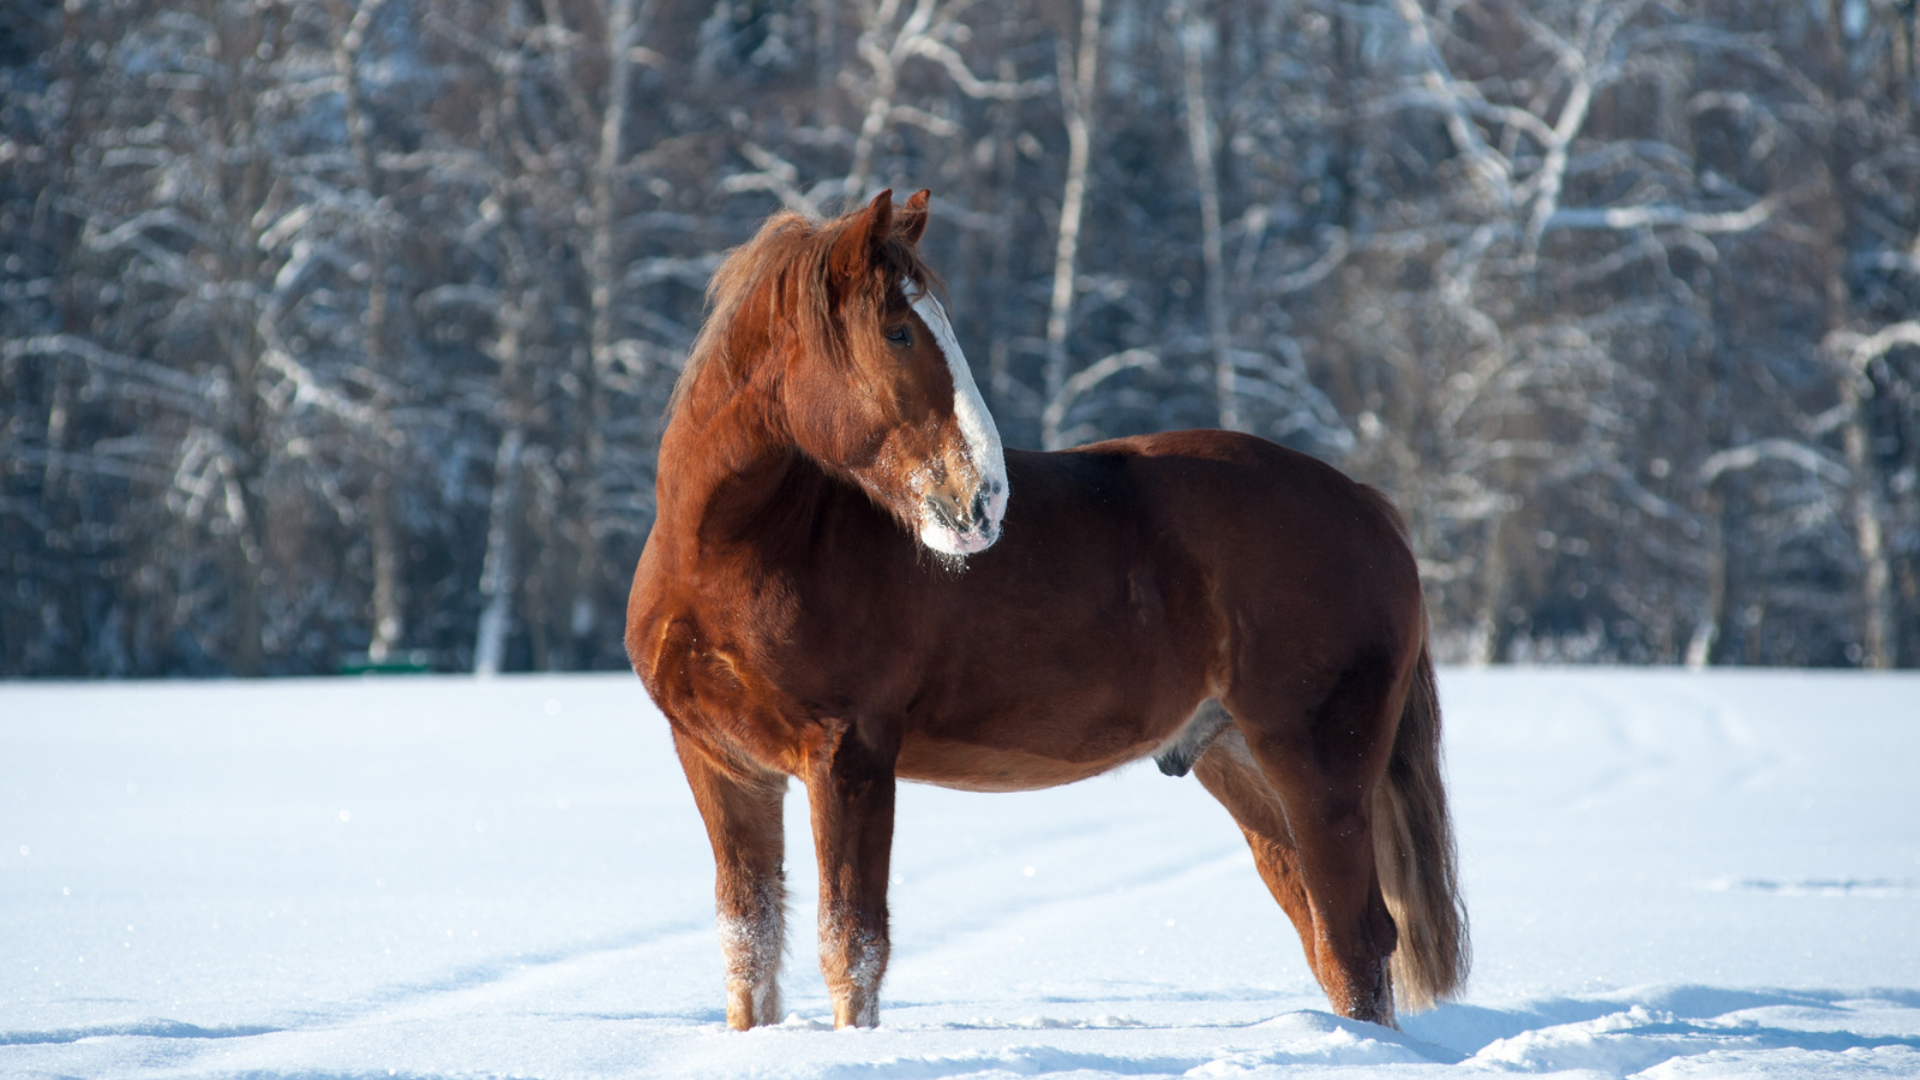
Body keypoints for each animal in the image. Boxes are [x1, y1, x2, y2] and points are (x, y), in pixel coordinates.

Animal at [626, 189, 1468, 1031]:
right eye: (897, 330)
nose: (984, 500)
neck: (733, 550)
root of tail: (1364, 503)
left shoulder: (849, 757)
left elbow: (851, 945)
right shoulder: (722, 766)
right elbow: (749, 945)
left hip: (1317, 768)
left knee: (1359, 940)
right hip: (1245, 767)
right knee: (1327, 938)